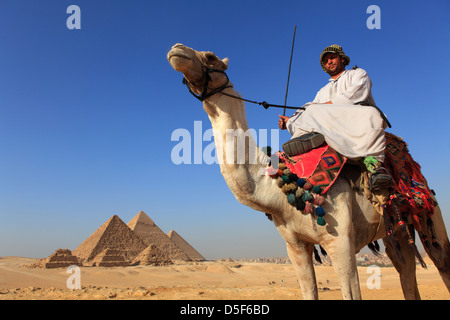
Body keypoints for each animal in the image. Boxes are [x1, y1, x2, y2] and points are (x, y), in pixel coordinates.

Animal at [167, 43, 448, 300]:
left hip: (429, 210)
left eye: (211, 56)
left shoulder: (341, 243)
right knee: (405, 267)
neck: (278, 191)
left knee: (441, 260)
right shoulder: (296, 247)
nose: (176, 50)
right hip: (395, 226)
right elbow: (308, 291)